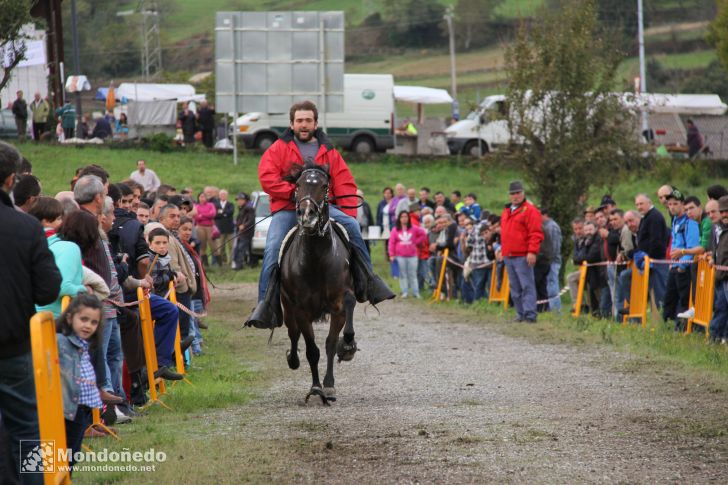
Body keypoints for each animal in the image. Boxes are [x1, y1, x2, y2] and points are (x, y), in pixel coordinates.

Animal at [280, 161, 356, 402]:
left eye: (324, 186)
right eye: (297, 185)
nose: (307, 215)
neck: (315, 261)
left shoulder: (338, 304)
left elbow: (331, 343)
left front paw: (329, 385)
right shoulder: (301, 311)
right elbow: (312, 350)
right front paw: (315, 388)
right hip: (287, 308)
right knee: (293, 334)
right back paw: (292, 358)